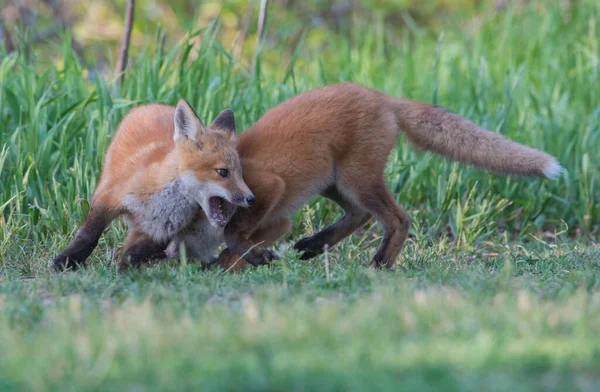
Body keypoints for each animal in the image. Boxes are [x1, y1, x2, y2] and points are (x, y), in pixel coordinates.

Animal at [50, 99, 254, 272]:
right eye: (223, 172)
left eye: (240, 173)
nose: (251, 198)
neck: (163, 202)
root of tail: (152, 104)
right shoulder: (110, 199)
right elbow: (88, 236)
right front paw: (66, 261)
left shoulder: (158, 229)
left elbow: (133, 254)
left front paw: (125, 272)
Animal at [210, 82, 564, 272]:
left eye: (226, 174)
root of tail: (380, 95)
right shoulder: (273, 215)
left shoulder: (266, 188)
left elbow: (233, 235)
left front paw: (233, 262)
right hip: (334, 183)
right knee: (360, 215)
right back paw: (313, 246)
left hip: (356, 180)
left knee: (398, 219)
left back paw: (379, 265)